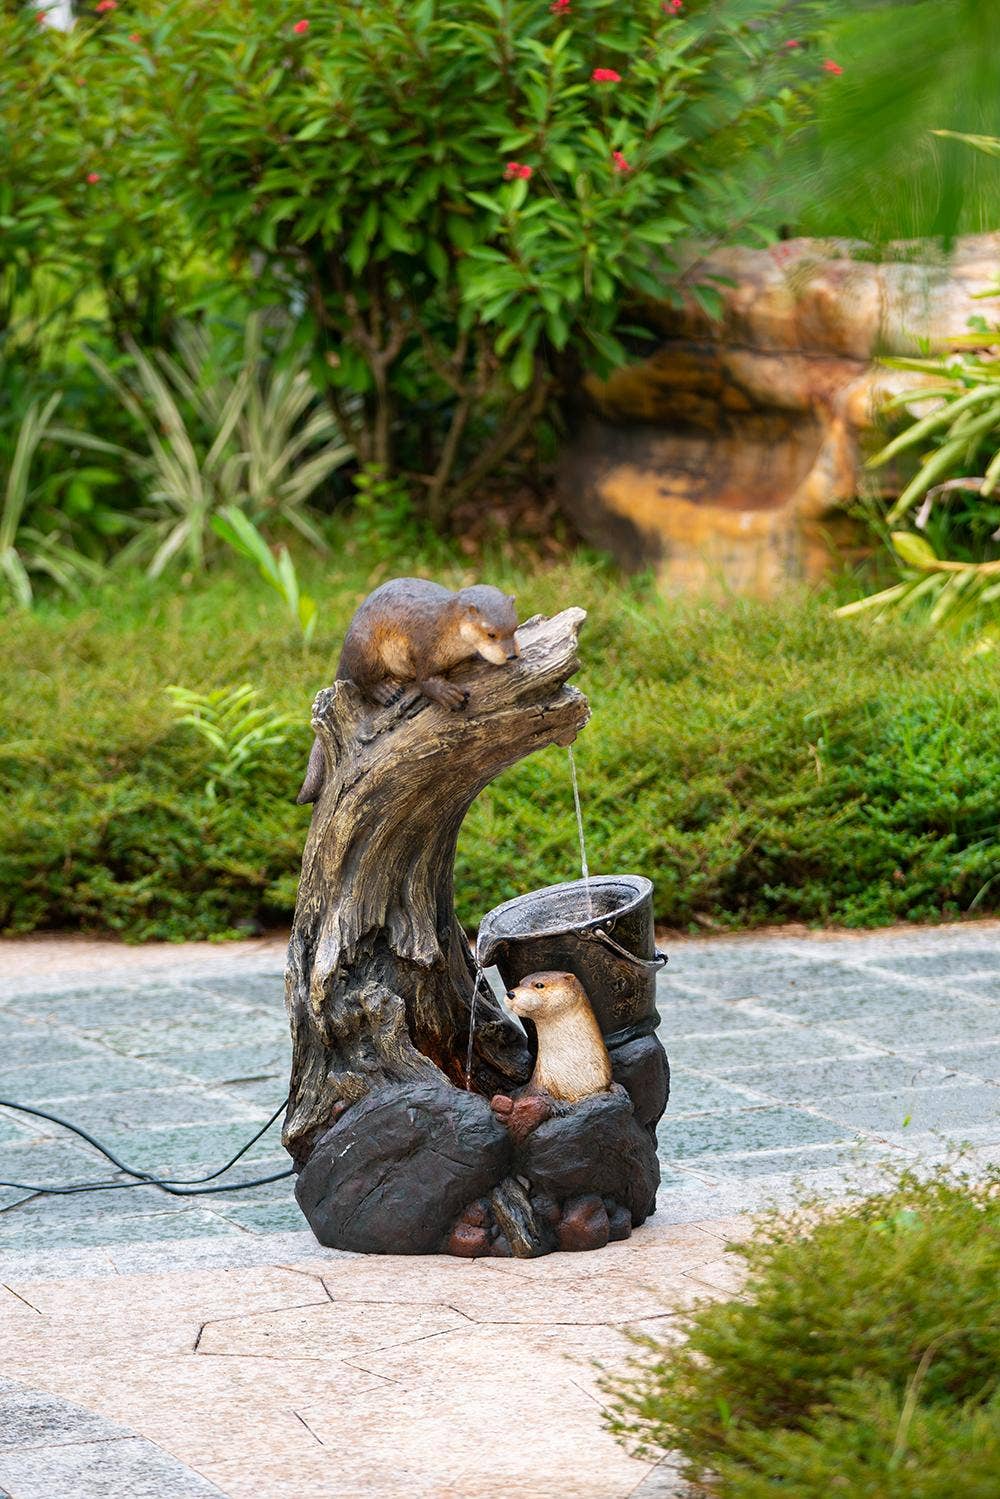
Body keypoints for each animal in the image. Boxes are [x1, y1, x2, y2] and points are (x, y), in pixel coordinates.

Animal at [296, 578, 520, 804]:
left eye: (514, 628)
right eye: (491, 634)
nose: (511, 655)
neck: (446, 630)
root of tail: (344, 650)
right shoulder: (425, 647)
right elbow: (424, 681)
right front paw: (449, 695)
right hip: (364, 647)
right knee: (362, 680)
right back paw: (387, 690)